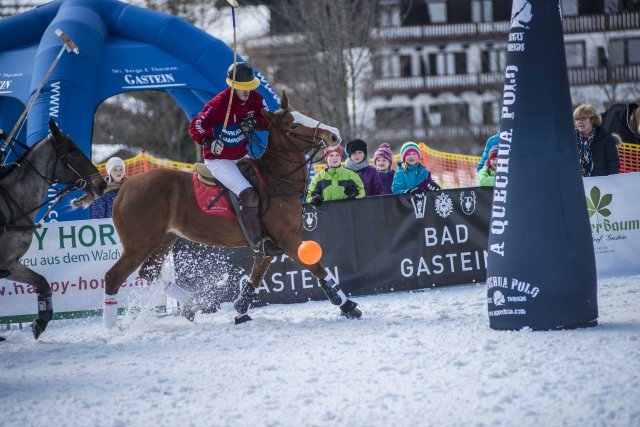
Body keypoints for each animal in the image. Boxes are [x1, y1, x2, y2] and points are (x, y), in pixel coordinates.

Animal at [0, 118, 105, 340]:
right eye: (73, 151)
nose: (101, 184)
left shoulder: (10, 265)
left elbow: (43, 282)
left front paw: (40, 322)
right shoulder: (7, 262)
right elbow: (41, 281)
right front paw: (40, 322)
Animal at [105, 93, 362, 328]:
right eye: (293, 125)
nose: (333, 135)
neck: (276, 179)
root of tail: (124, 188)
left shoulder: (267, 246)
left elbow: (254, 278)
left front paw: (240, 312)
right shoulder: (287, 239)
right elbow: (316, 267)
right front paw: (348, 306)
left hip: (164, 239)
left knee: (148, 273)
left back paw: (188, 304)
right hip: (139, 243)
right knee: (113, 277)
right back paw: (112, 329)